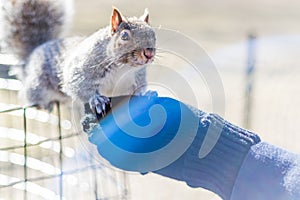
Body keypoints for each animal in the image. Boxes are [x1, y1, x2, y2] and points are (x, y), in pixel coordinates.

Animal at [1, 0, 157, 118]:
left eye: (153, 34)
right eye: (124, 36)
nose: (149, 53)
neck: (124, 67)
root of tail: (35, 51)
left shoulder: (137, 76)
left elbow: (138, 88)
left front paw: (146, 93)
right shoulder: (81, 69)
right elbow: (79, 86)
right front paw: (97, 100)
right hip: (37, 85)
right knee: (28, 95)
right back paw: (41, 104)